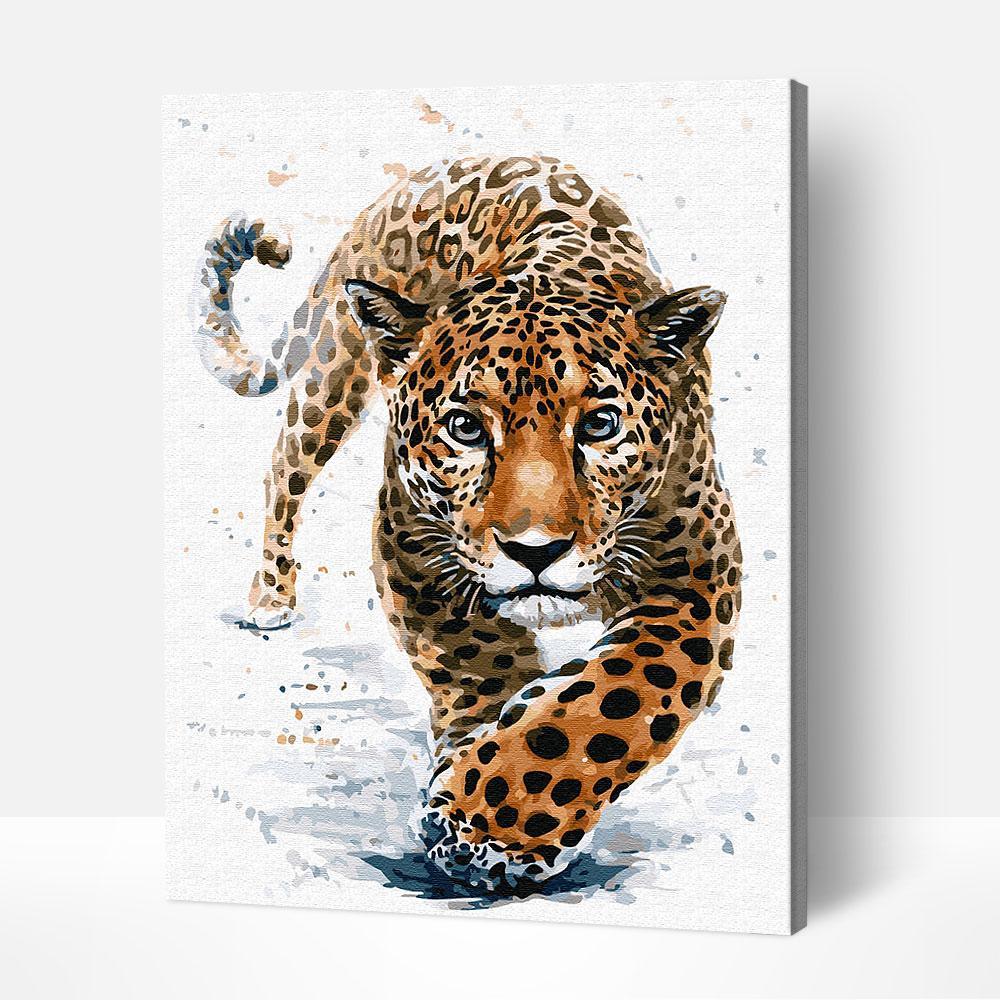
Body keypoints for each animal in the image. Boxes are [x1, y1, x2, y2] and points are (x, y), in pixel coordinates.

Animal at [193, 154, 741, 893]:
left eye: (600, 424)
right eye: (465, 428)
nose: (535, 551)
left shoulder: (698, 577)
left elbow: (618, 695)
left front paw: (490, 820)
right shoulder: (412, 550)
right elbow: (481, 665)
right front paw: (480, 808)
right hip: (335, 373)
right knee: (285, 466)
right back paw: (271, 597)